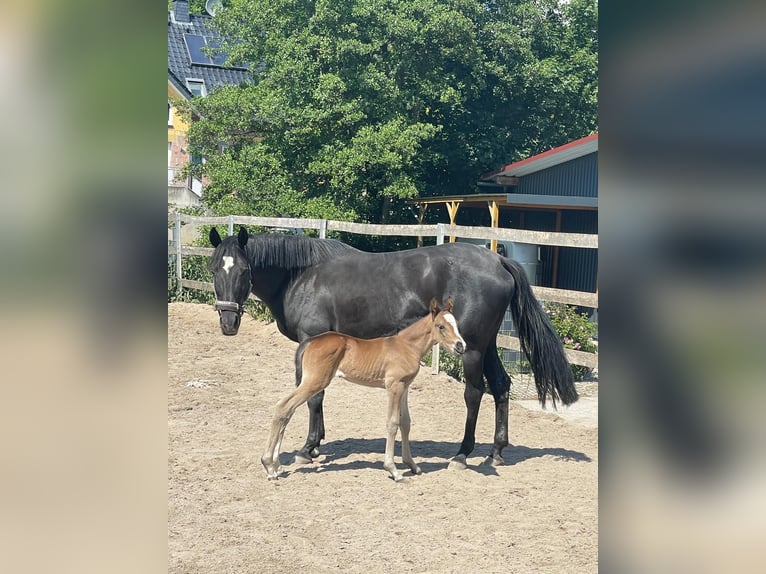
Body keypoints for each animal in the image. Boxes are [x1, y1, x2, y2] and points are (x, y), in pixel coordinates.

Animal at [262, 300, 468, 484]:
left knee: (287, 410)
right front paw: (393, 470)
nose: (461, 346)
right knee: (283, 407)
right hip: (314, 382)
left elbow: (405, 423)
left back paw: (277, 466)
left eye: (456, 324)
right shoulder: (393, 387)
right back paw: (269, 465)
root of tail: (310, 342)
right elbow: (392, 423)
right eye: (441, 326)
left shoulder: (405, 387)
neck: (407, 346)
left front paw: (412, 465)